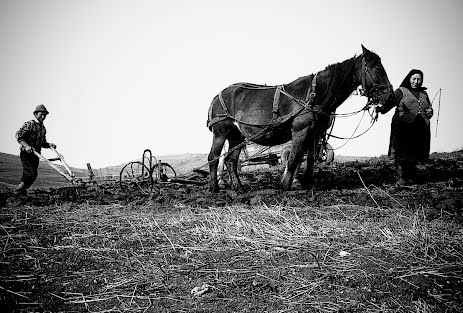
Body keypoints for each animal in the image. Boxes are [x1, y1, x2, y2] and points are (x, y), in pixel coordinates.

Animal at [208, 44, 394, 193]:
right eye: (378, 68)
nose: (390, 97)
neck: (315, 94)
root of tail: (217, 96)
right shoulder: (300, 129)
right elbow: (294, 157)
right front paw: (285, 186)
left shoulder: (314, 132)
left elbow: (309, 159)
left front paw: (307, 183)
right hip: (221, 132)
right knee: (213, 157)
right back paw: (214, 188)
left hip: (236, 135)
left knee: (230, 161)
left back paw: (239, 188)